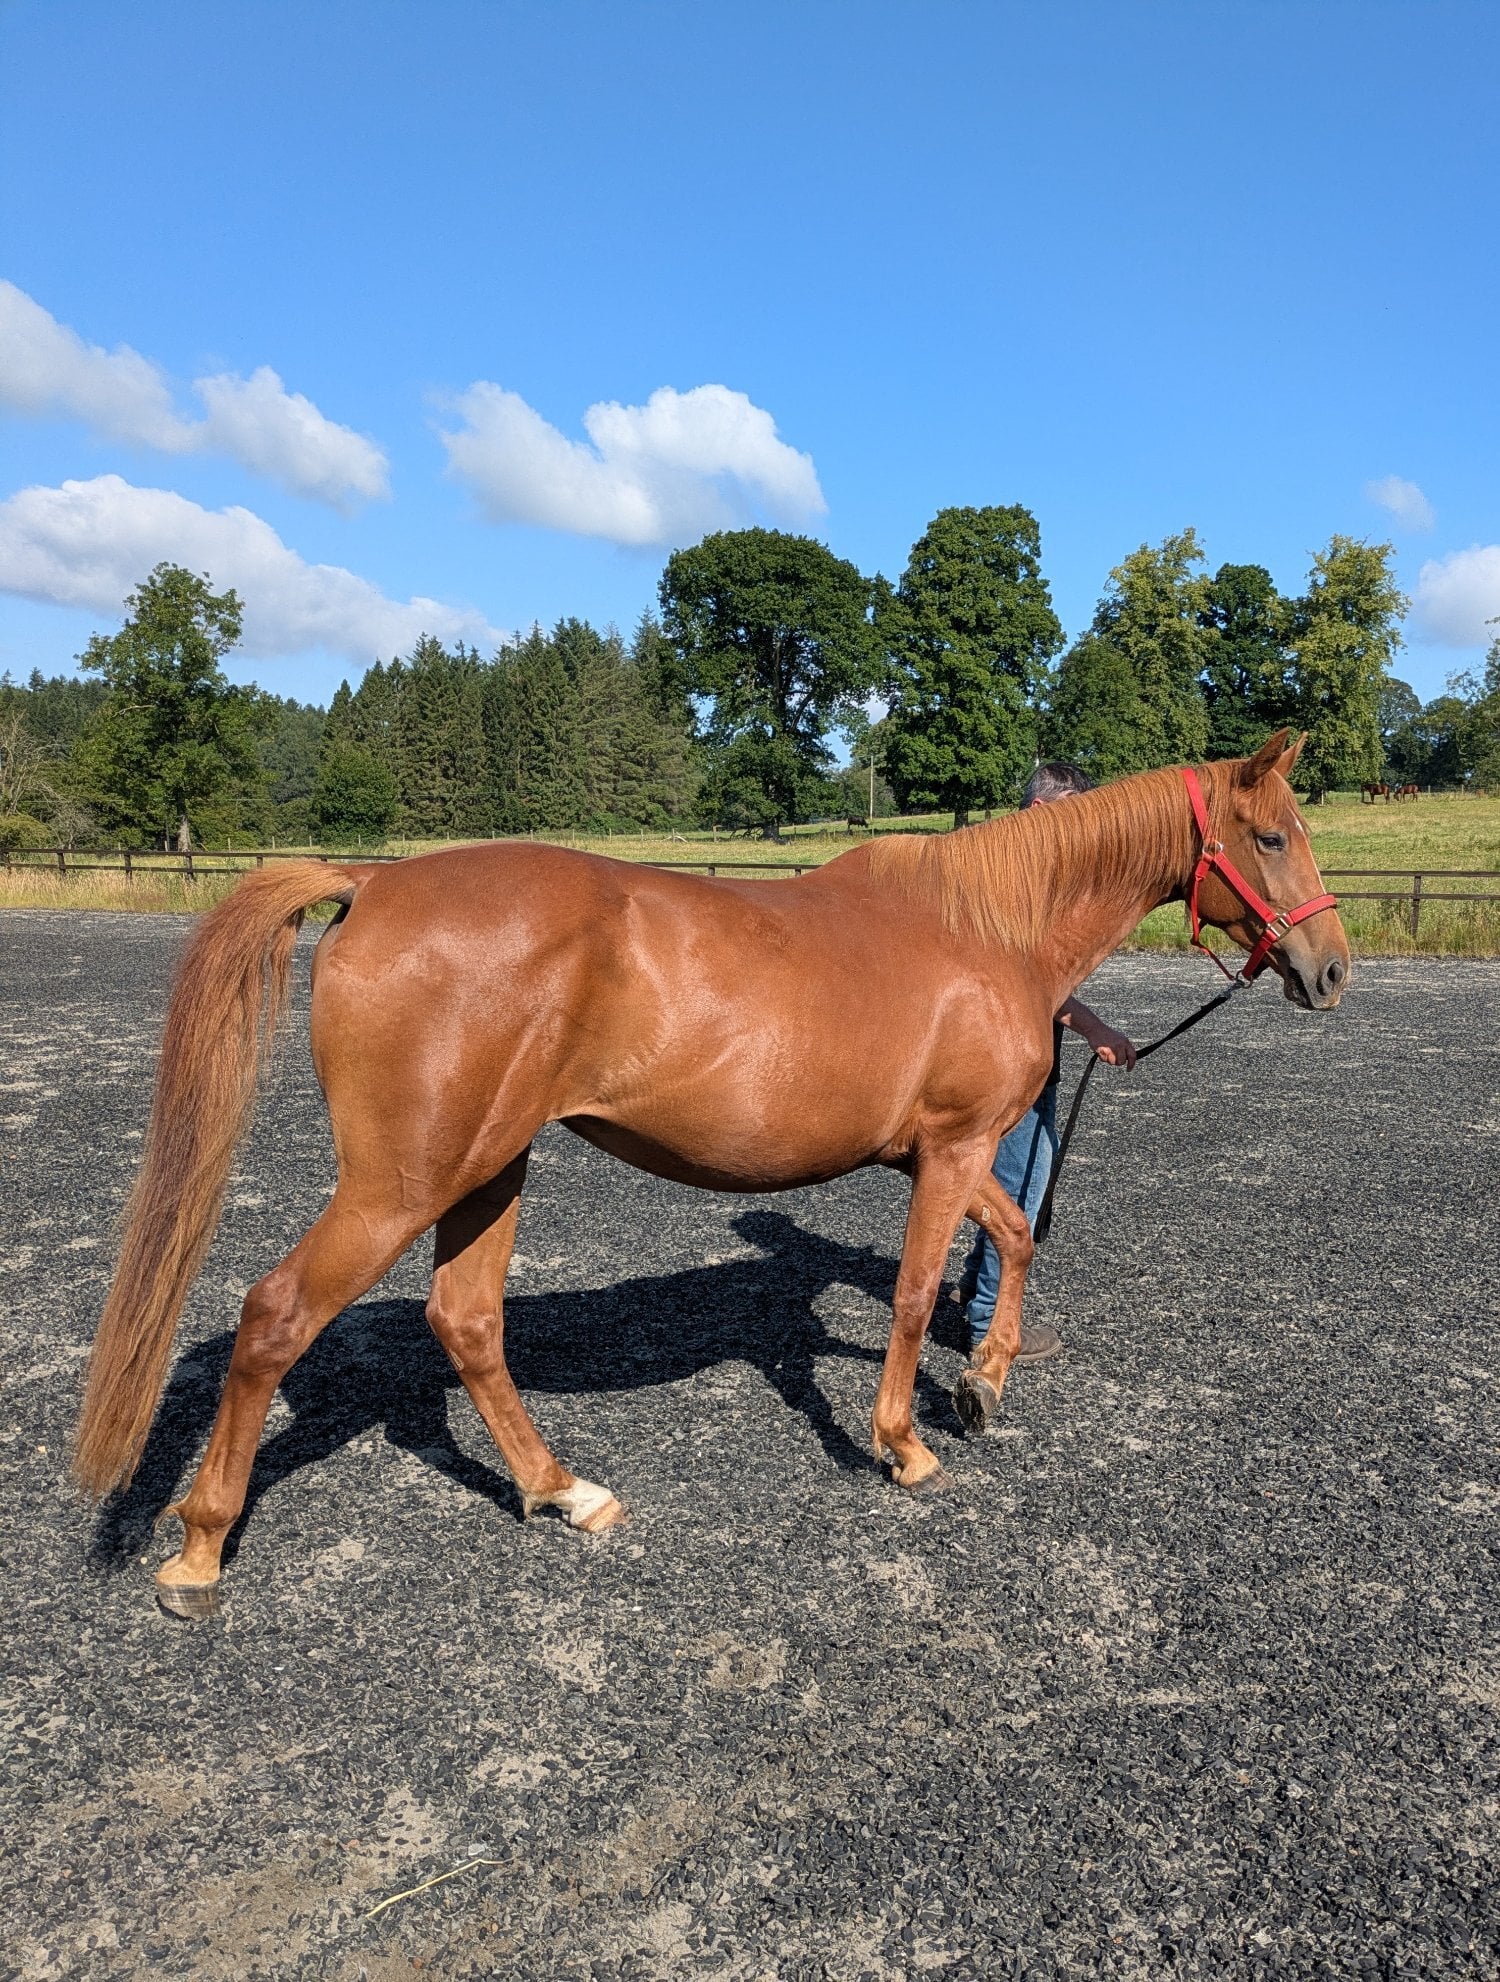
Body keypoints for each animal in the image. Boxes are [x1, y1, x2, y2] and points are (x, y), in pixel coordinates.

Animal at [73, 731, 1348, 1617]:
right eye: (1272, 835)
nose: (1331, 968)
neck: (988, 926)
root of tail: (375, 884)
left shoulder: (948, 1148)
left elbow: (1018, 1235)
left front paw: (984, 1378)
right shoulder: (948, 1148)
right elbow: (911, 1292)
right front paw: (905, 1442)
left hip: (487, 1167)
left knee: (466, 1320)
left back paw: (563, 1489)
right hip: (403, 1181)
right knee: (278, 1313)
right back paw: (199, 1552)